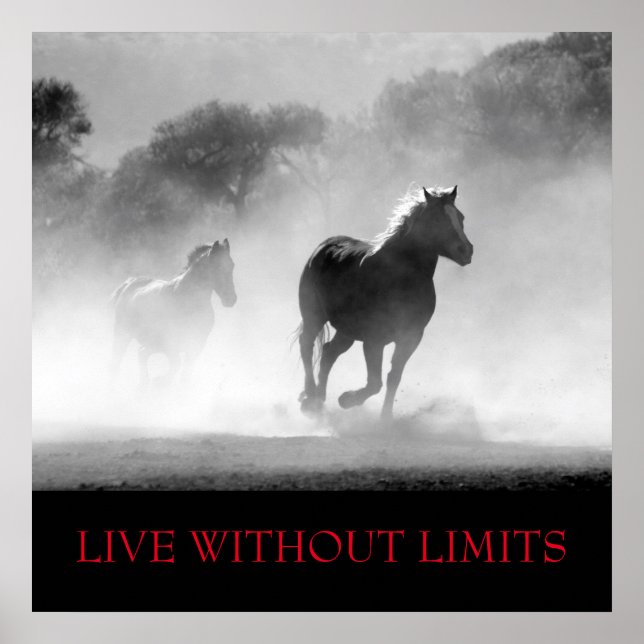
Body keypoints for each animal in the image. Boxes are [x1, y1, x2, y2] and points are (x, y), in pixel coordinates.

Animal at [110, 239, 236, 388]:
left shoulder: (196, 345)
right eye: (217, 267)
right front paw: (159, 382)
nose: (231, 299)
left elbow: (185, 375)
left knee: (141, 354)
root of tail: (128, 284)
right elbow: (176, 367)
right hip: (122, 334)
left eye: (232, 265)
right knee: (117, 361)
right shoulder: (171, 344)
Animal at [297, 185, 473, 421]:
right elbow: (375, 383)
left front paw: (385, 418)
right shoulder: (374, 339)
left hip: (347, 330)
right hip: (314, 316)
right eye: (437, 218)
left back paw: (319, 400)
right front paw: (347, 399)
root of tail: (323, 247)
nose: (466, 250)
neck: (400, 278)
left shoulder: (411, 337)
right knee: (306, 345)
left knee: (328, 353)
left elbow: (393, 377)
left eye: (460, 217)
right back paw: (309, 396)